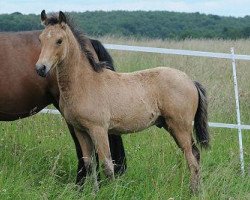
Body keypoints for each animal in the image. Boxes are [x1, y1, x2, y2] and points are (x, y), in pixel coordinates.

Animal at [36, 10, 209, 192]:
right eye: (41, 39)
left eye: (59, 40)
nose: (41, 68)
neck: (85, 83)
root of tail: (190, 81)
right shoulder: (80, 130)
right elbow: (90, 164)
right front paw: (94, 192)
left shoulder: (99, 129)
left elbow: (107, 165)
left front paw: (111, 192)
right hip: (172, 127)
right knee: (195, 154)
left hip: (180, 127)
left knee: (192, 158)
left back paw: (194, 191)